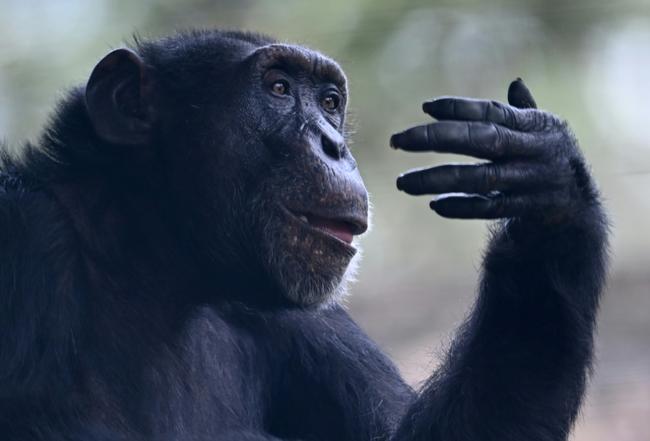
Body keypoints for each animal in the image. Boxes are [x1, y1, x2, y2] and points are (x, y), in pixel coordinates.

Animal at [0, 29, 608, 438]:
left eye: (330, 103)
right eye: (277, 88)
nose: (332, 144)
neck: (166, 274)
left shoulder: (315, 321)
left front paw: (549, 194)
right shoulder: (28, 236)